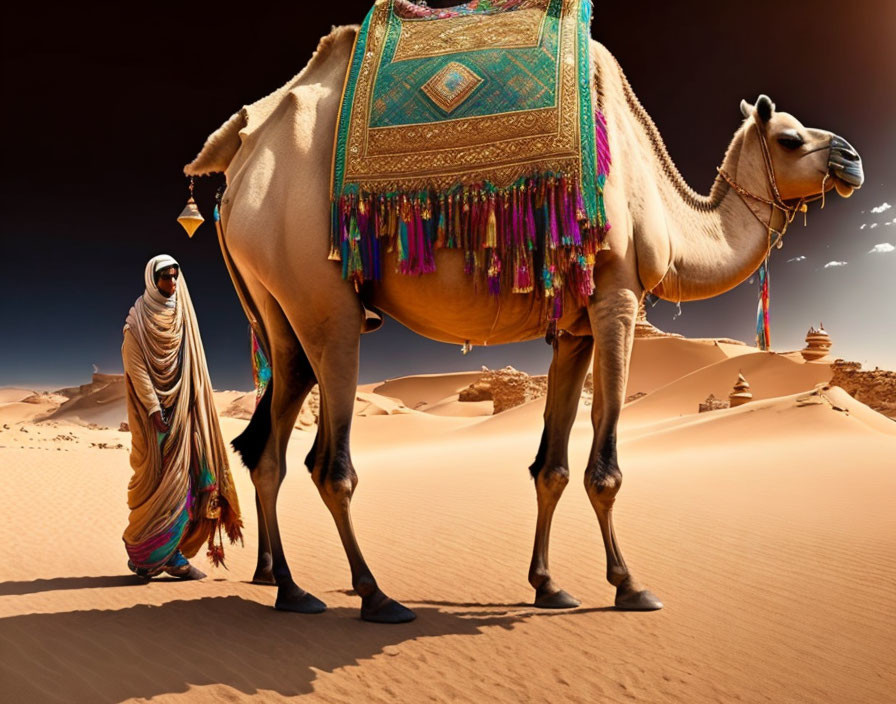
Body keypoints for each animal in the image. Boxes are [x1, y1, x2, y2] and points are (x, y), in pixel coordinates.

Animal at [182, 26, 860, 620]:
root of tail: (240, 160)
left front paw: (548, 585)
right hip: (320, 294)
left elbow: (551, 468)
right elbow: (605, 464)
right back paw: (375, 597)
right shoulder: (617, 298)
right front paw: (629, 585)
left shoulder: (575, 326)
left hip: (278, 306)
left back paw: (290, 588)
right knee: (328, 461)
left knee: (268, 447)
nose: (851, 158)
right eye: (791, 138)